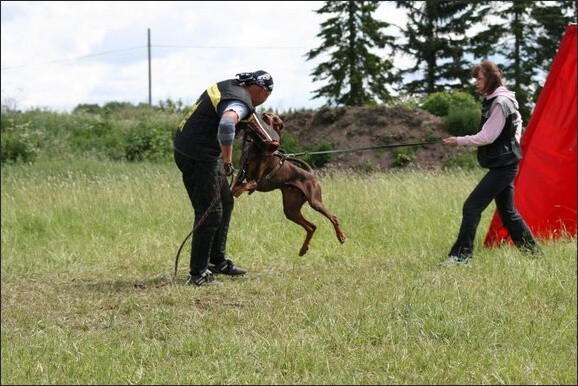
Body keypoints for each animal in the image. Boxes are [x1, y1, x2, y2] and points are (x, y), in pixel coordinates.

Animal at [231, 111, 346, 256]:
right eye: (269, 114)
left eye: (276, 120)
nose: (264, 114)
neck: (257, 148)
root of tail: (310, 174)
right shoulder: (241, 173)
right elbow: (235, 186)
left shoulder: (256, 181)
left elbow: (243, 187)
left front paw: (237, 192)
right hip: (291, 208)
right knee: (311, 227)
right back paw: (303, 249)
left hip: (314, 201)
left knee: (332, 217)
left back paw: (341, 237)